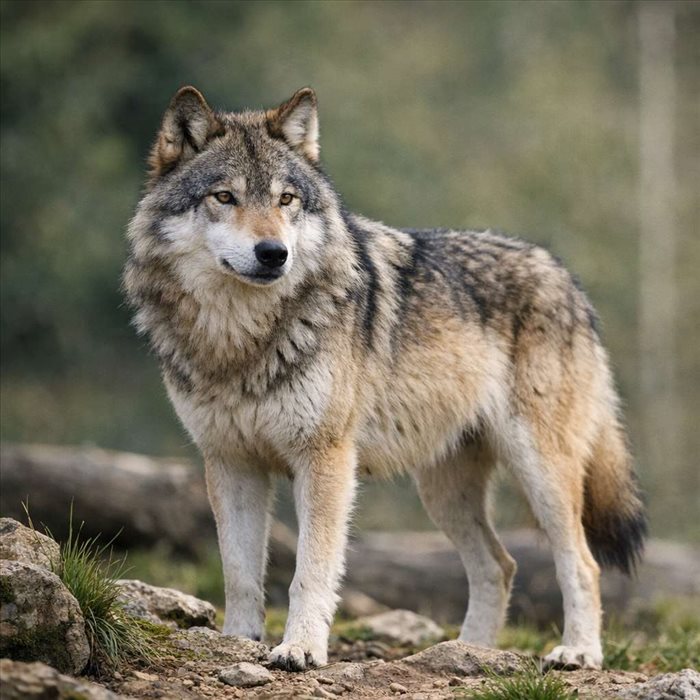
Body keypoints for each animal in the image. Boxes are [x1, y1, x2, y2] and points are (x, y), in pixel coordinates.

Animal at [124, 86, 646, 672]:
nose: (274, 253)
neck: (239, 339)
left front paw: (300, 648)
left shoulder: (325, 459)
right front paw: (238, 641)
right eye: (224, 197)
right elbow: (238, 571)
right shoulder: (230, 462)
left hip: (541, 471)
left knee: (582, 562)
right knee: (499, 565)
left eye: (286, 200)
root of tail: (564, 275)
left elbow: (309, 571)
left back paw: (578, 652)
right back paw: (469, 652)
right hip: (443, 490)